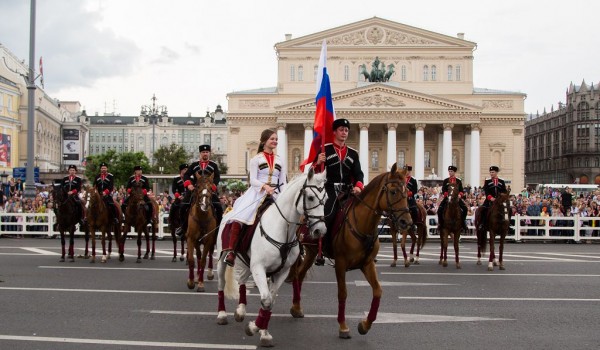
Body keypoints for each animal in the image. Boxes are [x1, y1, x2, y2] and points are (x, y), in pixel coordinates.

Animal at [217, 167, 328, 348]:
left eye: (326, 199)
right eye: (311, 197)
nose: (320, 230)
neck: (283, 230)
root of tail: (228, 212)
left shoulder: (281, 272)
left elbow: (271, 302)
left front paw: (264, 333)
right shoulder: (259, 268)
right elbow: (266, 300)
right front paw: (254, 328)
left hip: (246, 262)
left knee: (242, 281)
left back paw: (240, 310)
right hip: (223, 258)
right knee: (221, 282)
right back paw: (221, 314)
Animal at [288, 164, 412, 340]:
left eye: (407, 192)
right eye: (393, 191)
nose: (406, 222)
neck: (363, 224)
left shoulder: (367, 264)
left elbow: (378, 291)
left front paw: (365, 325)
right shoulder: (340, 264)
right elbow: (343, 293)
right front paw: (343, 326)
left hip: (311, 252)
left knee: (299, 274)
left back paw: (297, 308)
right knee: (296, 274)